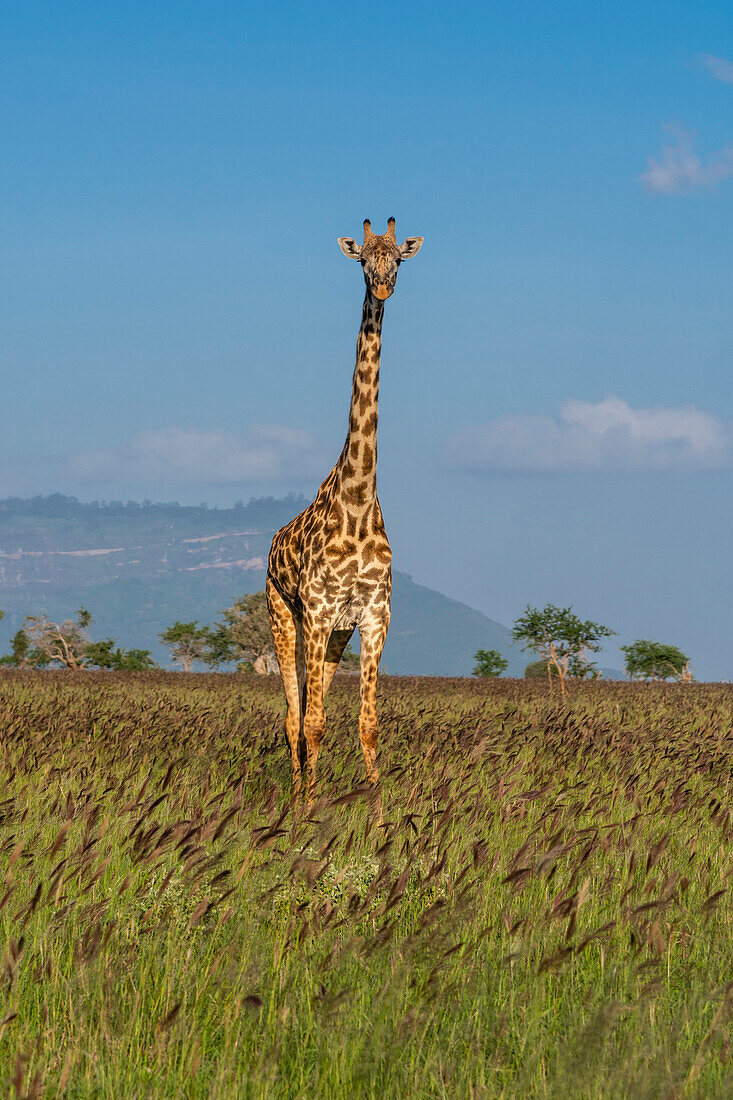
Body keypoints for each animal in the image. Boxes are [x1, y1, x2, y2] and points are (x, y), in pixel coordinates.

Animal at [267, 216, 422, 800]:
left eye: (397, 259)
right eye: (362, 260)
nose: (382, 288)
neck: (356, 501)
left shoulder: (374, 616)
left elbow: (367, 723)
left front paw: (378, 815)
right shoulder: (315, 610)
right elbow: (312, 721)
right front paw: (309, 814)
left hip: (333, 633)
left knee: (310, 709)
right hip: (284, 615)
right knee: (294, 716)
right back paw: (295, 800)